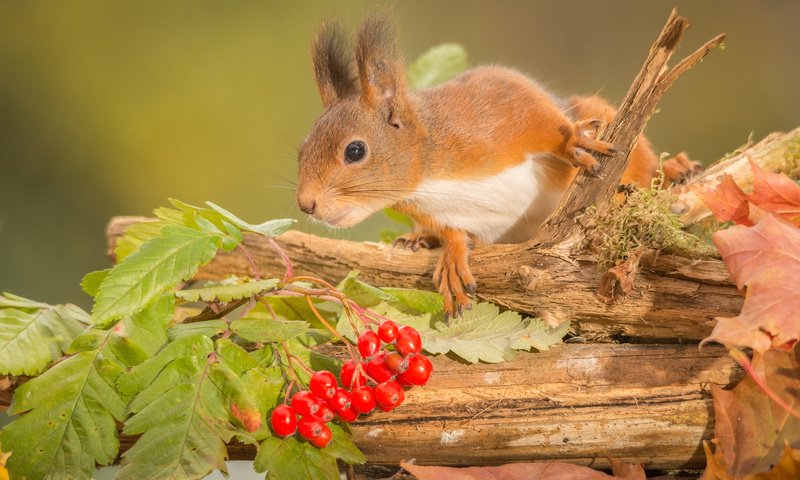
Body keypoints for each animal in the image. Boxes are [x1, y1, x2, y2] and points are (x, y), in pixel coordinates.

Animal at [296, 14, 700, 318]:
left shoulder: (497, 105)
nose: (306, 204)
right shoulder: (445, 214)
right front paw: (451, 255)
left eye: (354, 151)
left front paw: (571, 142)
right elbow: (455, 233)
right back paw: (419, 239)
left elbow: (541, 120)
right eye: (301, 149)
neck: (428, 178)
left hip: (605, 121)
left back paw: (676, 171)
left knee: (644, 165)